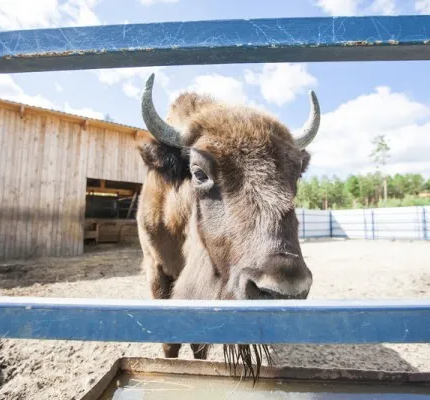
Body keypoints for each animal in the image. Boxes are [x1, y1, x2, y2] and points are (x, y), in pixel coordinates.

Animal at [136, 72, 320, 382]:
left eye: (295, 175)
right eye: (199, 173)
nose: (283, 291)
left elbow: (198, 345)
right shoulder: (156, 270)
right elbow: (169, 342)